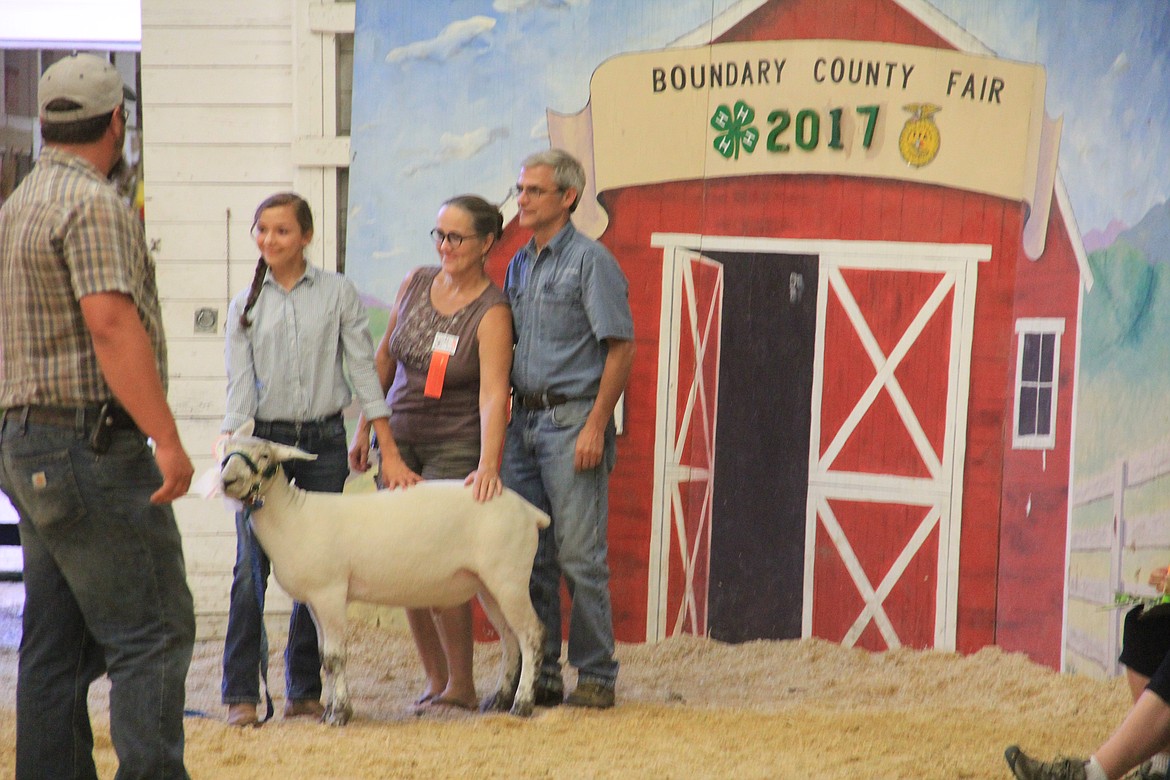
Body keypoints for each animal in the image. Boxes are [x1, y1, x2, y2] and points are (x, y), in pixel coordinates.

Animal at [218, 420, 547, 725]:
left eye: (264, 455)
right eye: (225, 452)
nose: (227, 481)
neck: (292, 516)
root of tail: (529, 511)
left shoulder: (330, 592)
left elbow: (335, 657)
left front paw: (339, 713)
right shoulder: (314, 600)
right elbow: (324, 657)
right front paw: (332, 710)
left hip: (509, 578)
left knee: (531, 635)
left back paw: (522, 704)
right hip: (489, 585)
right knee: (510, 638)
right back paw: (499, 699)